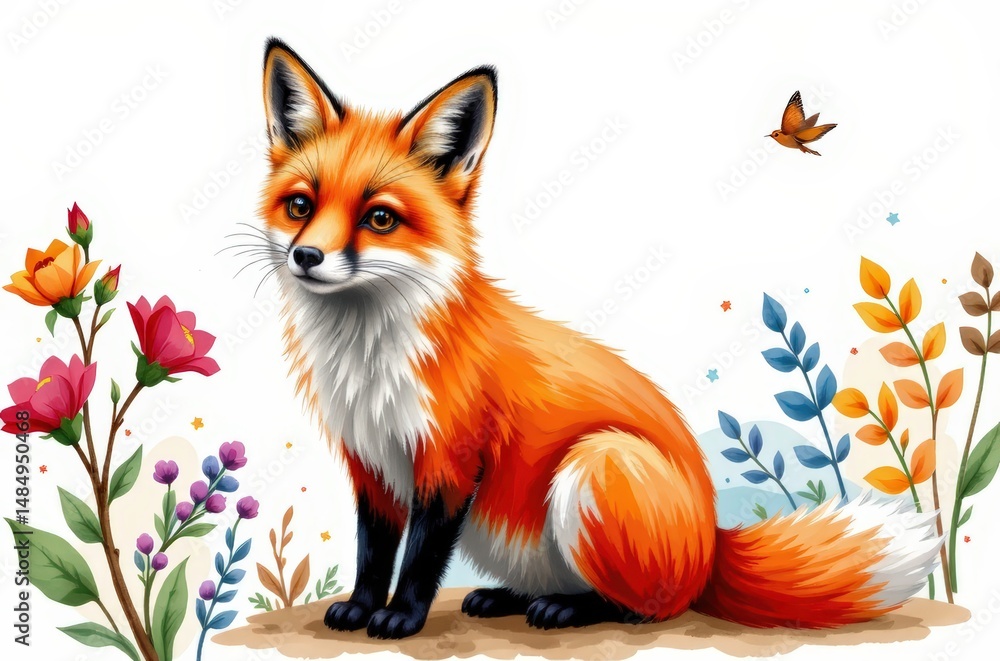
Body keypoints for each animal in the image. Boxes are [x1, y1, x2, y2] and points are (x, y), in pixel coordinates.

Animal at [256, 38, 941, 640]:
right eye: (300, 206)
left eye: (379, 218)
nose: (307, 257)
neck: (370, 358)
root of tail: (711, 546)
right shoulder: (371, 463)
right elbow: (373, 553)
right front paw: (361, 606)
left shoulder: (450, 464)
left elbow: (421, 559)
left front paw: (400, 617)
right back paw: (508, 597)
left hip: (595, 464)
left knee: (649, 607)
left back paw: (568, 610)